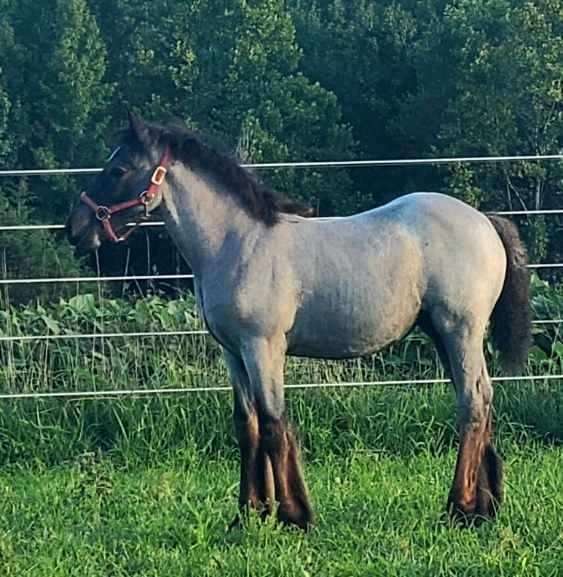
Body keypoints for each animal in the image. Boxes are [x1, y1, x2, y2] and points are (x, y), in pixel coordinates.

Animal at [68, 115, 532, 528]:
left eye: (118, 168)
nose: (76, 228)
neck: (238, 244)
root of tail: (485, 221)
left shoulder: (263, 347)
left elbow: (275, 423)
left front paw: (294, 515)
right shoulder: (233, 353)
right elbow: (248, 425)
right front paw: (248, 514)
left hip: (460, 330)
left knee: (472, 405)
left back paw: (459, 508)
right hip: (443, 333)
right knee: (483, 399)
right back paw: (486, 507)